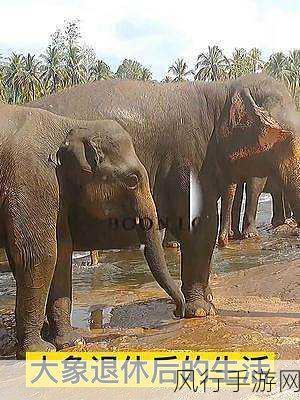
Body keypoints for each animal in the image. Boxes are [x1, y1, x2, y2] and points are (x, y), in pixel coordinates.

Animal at [0, 102, 184, 356]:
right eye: (132, 179)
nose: (177, 313)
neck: (69, 125)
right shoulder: (31, 179)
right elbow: (40, 255)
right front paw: (40, 350)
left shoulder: (58, 191)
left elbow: (62, 253)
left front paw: (70, 342)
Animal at [29, 72, 300, 322]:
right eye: (286, 140)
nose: (177, 310)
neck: (222, 88)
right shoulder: (187, 159)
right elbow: (200, 226)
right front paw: (201, 311)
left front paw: (207, 302)